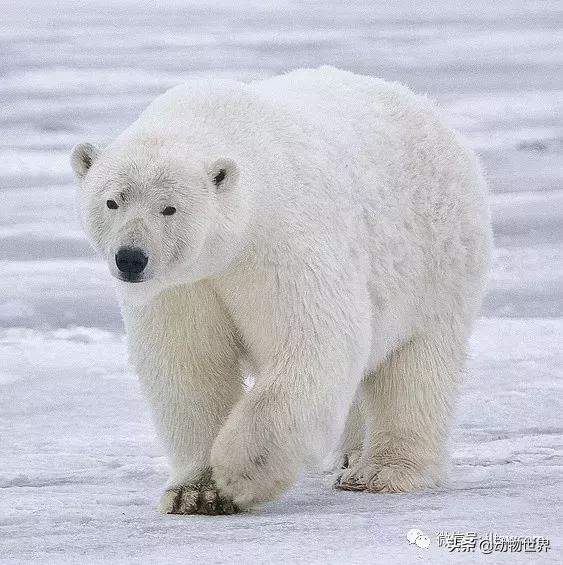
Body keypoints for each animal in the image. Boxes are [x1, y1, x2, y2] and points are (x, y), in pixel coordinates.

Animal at [70, 65, 494, 512]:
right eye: (112, 201)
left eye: (169, 208)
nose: (131, 258)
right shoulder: (182, 286)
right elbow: (189, 364)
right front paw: (195, 492)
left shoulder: (279, 241)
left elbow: (313, 339)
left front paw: (239, 474)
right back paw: (349, 455)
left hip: (437, 261)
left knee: (416, 365)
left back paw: (382, 471)